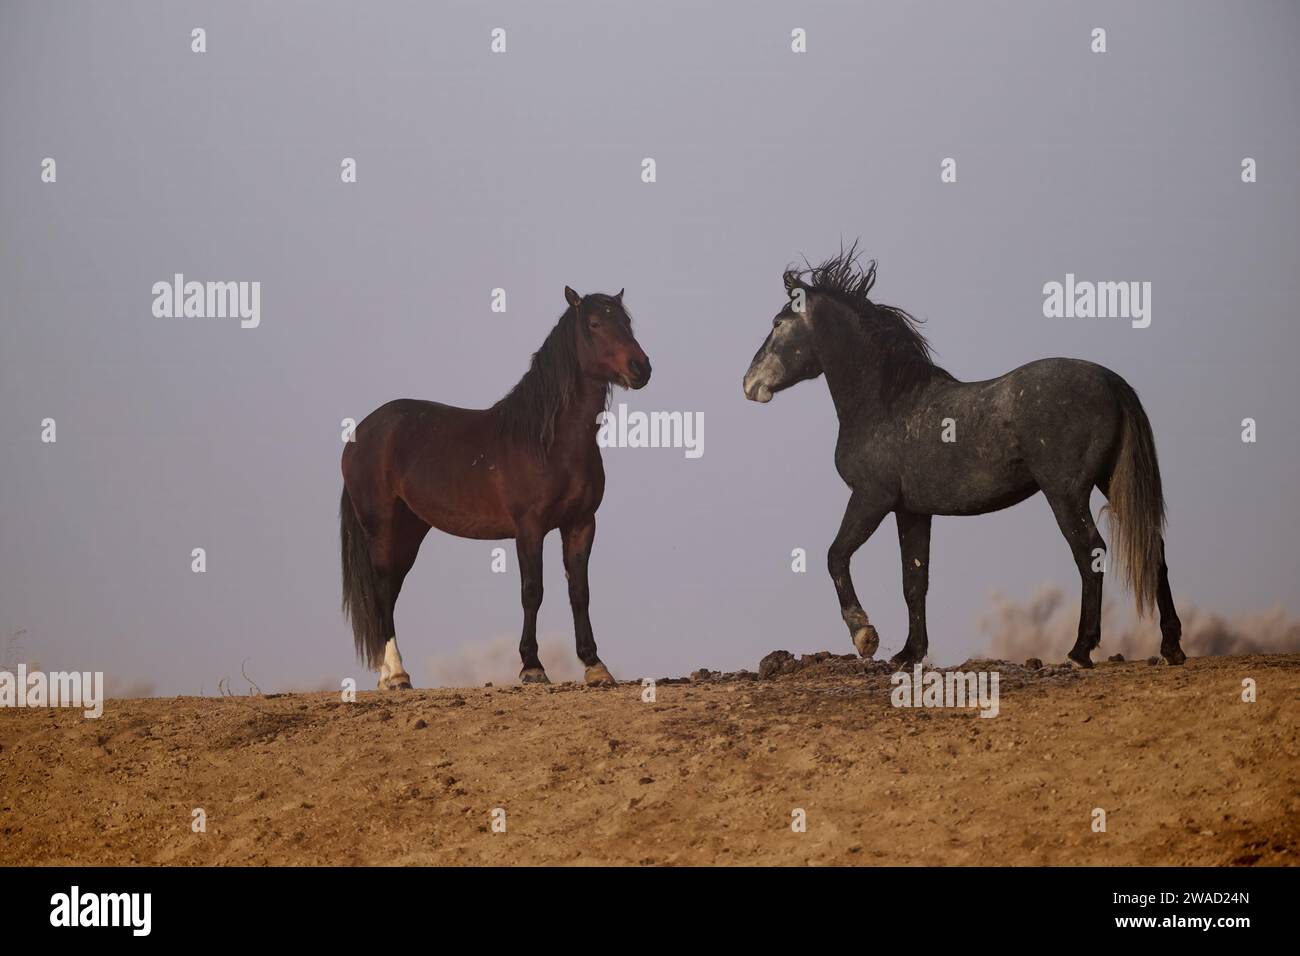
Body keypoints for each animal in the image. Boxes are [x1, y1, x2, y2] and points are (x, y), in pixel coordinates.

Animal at [343, 287, 650, 691]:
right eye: (596, 323)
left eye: (627, 322)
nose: (641, 368)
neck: (550, 443)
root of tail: (360, 432)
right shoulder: (529, 528)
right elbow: (532, 591)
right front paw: (532, 667)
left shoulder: (581, 524)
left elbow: (579, 591)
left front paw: (595, 665)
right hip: (382, 528)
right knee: (380, 589)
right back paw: (396, 674)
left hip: (410, 530)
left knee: (390, 590)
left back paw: (388, 675)